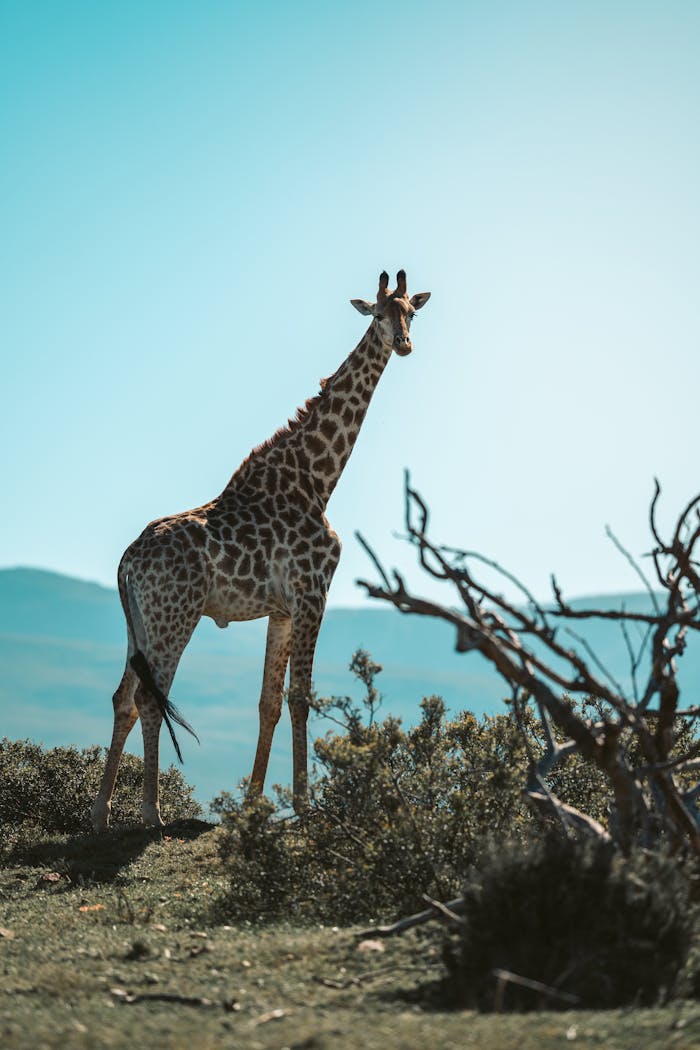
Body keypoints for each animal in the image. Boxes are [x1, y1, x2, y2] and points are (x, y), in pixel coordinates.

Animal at [90, 270, 431, 829]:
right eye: (379, 314)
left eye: (412, 313)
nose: (403, 344)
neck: (318, 479)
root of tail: (125, 563)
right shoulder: (312, 594)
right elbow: (301, 698)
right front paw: (305, 808)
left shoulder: (282, 609)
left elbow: (268, 702)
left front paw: (252, 808)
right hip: (174, 615)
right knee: (149, 695)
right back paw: (151, 814)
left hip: (137, 621)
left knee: (124, 696)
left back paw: (100, 815)